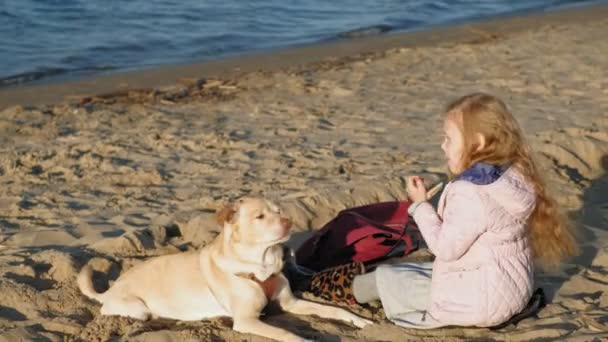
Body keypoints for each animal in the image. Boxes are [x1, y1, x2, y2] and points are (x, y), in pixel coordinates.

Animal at [76, 198, 370, 342]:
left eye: (279, 211)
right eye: (260, 216)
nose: (288, 221)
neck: (262, 262)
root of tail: (109, 290)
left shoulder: (292, 303)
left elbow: (333, 310)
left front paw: (360, 320)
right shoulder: (247, 320)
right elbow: (289, 334)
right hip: (138, 308)